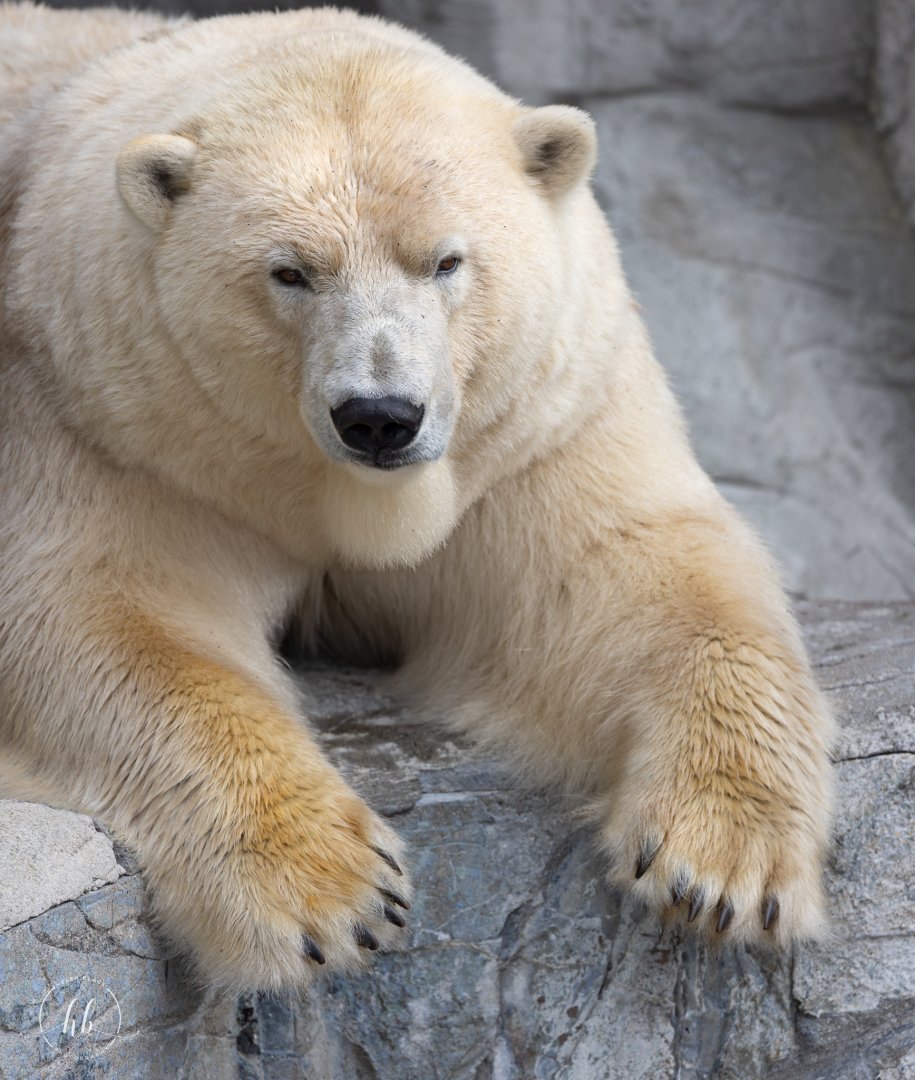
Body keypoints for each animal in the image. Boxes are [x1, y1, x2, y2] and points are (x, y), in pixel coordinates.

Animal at [0, 2, 834, 992]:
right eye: (290, 270)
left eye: (445, 261)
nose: (379, 417)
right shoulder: (129, 427)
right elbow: (109, 617)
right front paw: (332, 892)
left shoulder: (526, 432)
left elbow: (626, 578)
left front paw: (724, 866)